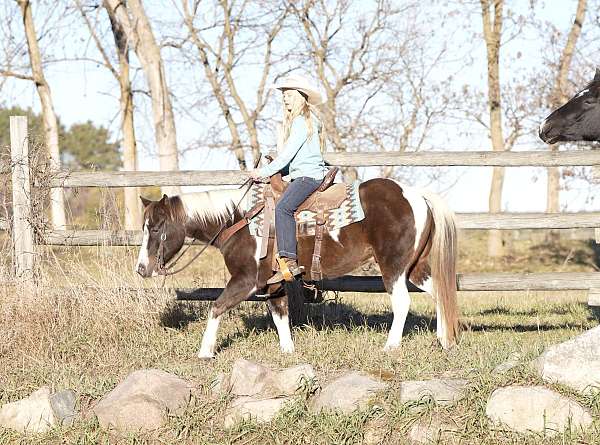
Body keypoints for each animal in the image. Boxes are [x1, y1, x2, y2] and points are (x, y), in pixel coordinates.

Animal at [135, 177, 460, 358]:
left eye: (156, 228)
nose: (141, 269)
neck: (238, 220)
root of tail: (415, 194)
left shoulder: (246, 280)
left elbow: (216, 307)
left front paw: (204, 352)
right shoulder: (273, 284)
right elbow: (280, 315)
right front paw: (288, 352)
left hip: (392, 267)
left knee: (403, 302)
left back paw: (391, 346)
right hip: (415, 267)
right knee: (440, 294)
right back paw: (444, 340)